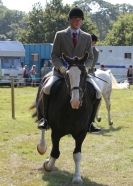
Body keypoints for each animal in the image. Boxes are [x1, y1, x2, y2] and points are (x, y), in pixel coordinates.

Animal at [33, 53, 100, 184]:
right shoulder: (56, 132)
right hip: (41, 110)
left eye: (84, 74)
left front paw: (77, 177)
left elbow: (77, 155)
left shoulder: (81, 133)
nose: (75, 101)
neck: (73, 111)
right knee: (42, 127)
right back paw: (42, 147)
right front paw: (47, 165)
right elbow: (55, 152)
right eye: (67, 75)